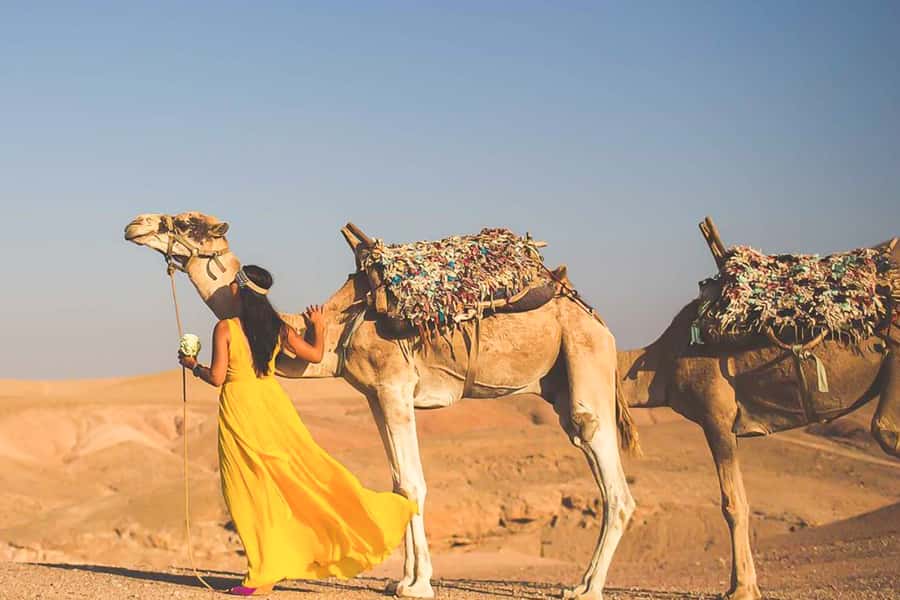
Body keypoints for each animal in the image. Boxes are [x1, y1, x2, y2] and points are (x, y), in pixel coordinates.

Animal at [124, 211, 640, 600]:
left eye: (186, 222)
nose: (135, 224)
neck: (339, 325)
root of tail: (598, 319)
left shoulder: (395, 388)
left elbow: (413, 483)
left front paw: (418, 586)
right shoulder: (375, 395)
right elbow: (398, 483)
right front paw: (402, 580)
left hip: (585, 356)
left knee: (610, 474)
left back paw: (587, 589)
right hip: (559, 381)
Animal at [617, 233, 900, 600]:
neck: (659, 362)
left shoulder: (716, 418)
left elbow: (732, 504)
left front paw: (741, 588)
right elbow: (739, 501)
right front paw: (745, 583)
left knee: (886, 431)